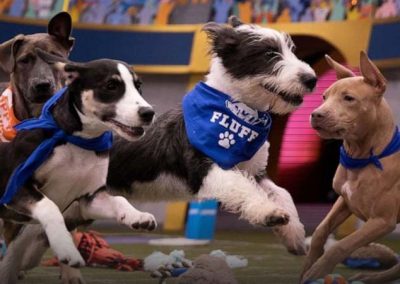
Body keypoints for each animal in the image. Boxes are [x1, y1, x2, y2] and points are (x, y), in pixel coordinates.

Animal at [0, 51, 156, 284]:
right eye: (111, 85)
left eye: (138, 86)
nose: (148, 113)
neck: (79, 141)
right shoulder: (16, 186)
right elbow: (50, 208)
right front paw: (66, 249)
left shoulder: (88, 197)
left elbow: (119, 199)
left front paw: (136, 216)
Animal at [302, 50, 398, 282]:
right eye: (324, 97)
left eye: (349, 98)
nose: (316, 114)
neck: (362, 156)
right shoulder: (345, 201)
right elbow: (320, 232)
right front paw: (307, 267)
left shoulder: (382, 220)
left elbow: (341, 246)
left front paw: (316, 272)